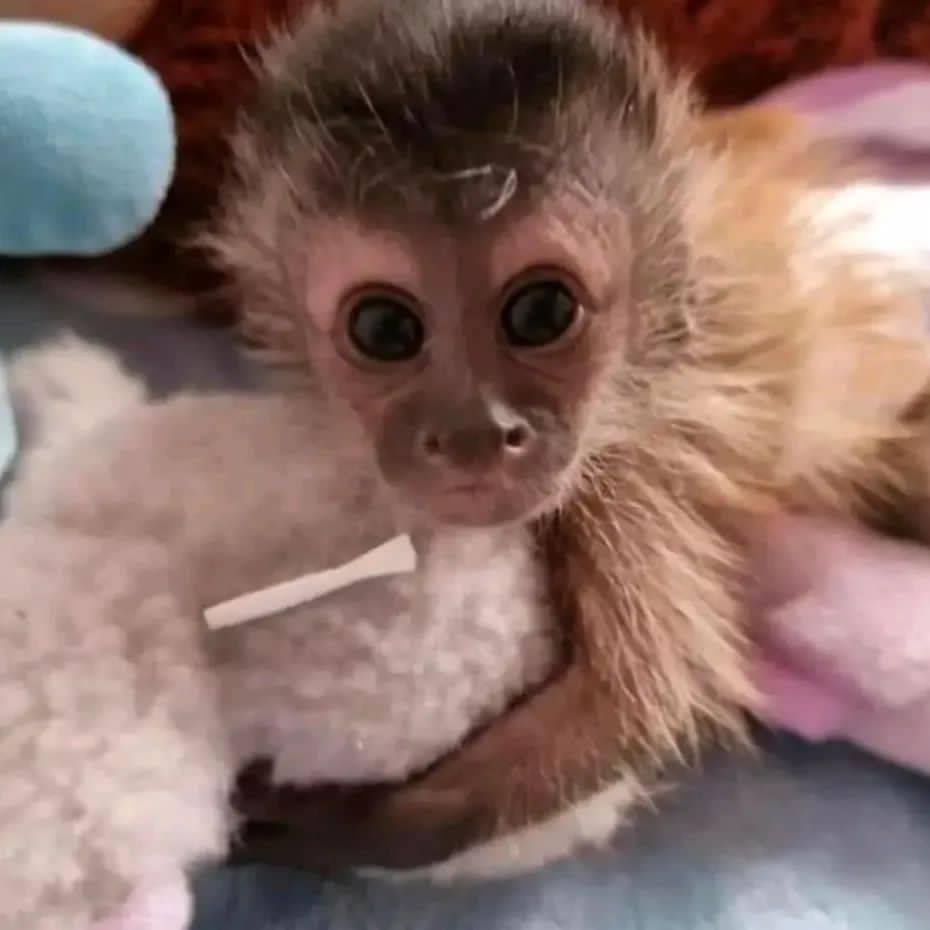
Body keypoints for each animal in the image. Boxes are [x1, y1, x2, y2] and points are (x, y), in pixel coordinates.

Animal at [217, 0, 930, 876]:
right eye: (384, 328)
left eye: (542, 312)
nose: (477, 434)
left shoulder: (626, 466)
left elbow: (634, 702)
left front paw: (341, 826)